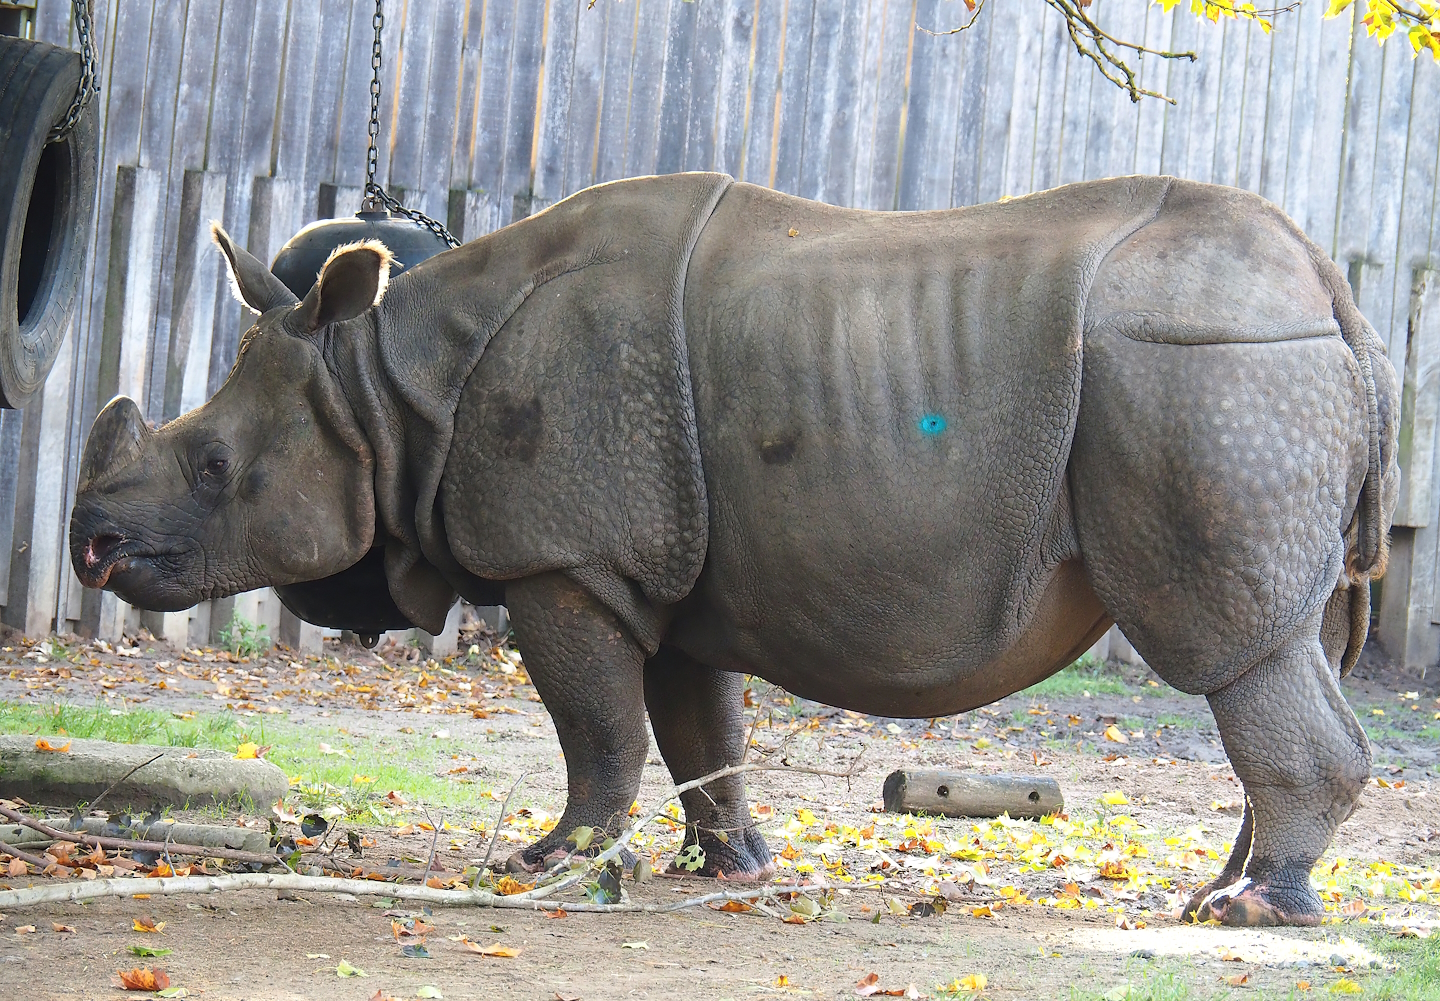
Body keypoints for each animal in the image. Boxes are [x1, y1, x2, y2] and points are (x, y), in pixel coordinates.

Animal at [69, 173, 1397, 927]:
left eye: (212, 470)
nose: (93, 547)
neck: (384, 391)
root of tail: (1332, 287)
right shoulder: (659, 561)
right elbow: (696, 725)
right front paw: (733, 869)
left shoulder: (563, 557)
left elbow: (596, 725)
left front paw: (554, 861)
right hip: (1245, 369)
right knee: (1294, 638)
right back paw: (1232, 890)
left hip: (1206, 374)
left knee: (1229, 646)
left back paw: (1249, 912)